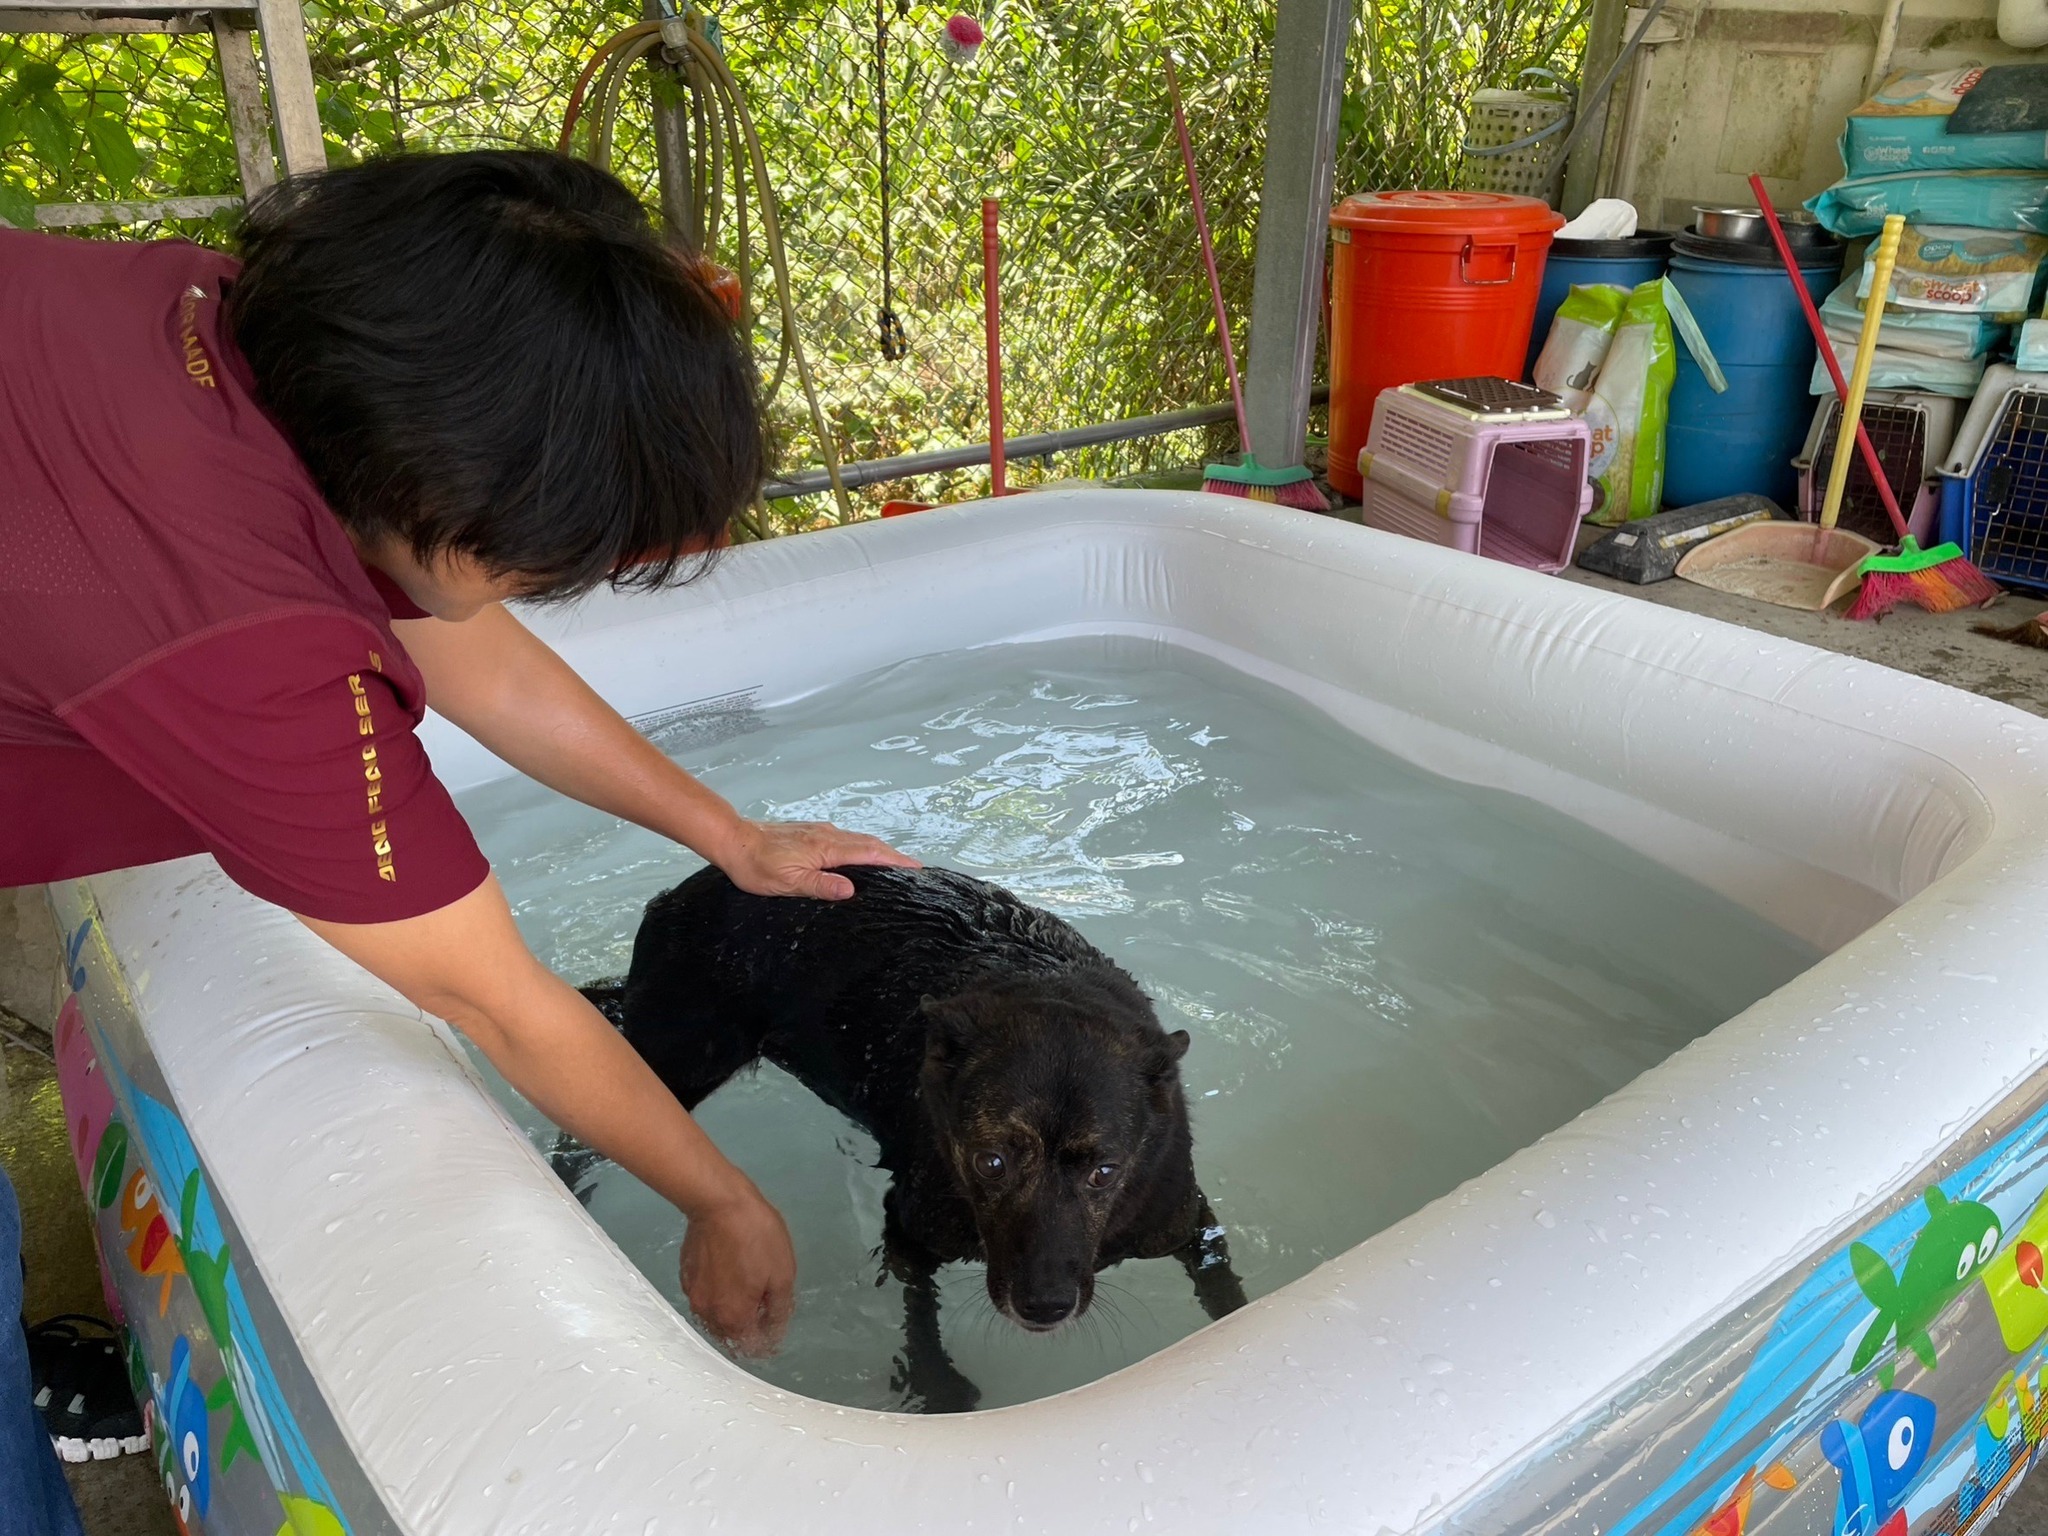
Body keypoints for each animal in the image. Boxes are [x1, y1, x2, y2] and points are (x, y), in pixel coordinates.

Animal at [569, 860, 1253, 1417]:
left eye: (1105, 1172)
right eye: (991, 1162)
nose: (1044, 1306)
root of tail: (675, 897)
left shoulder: (1186, 1223)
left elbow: (1227, 1290)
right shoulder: (909, 1229)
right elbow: (919, 1312)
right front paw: (936, 1381)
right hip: (675, 1062)